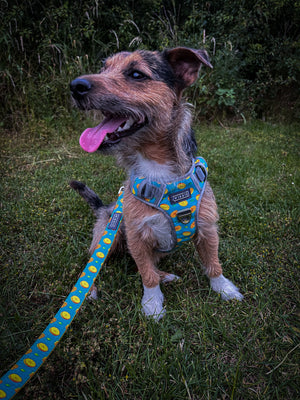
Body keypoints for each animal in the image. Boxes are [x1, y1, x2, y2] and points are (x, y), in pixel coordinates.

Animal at [69, 47, 243, 320]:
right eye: (103, 68)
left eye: (136, 74)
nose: (75, 86)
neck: (158, 170)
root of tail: (104, 208)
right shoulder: (137, 236)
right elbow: (146, 275)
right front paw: (152, 303)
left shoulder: (207, 228)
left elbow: (213, 263)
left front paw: (224, 289)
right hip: (108, 238)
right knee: (91, 266)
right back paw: (90, 291)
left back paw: (166, 276)